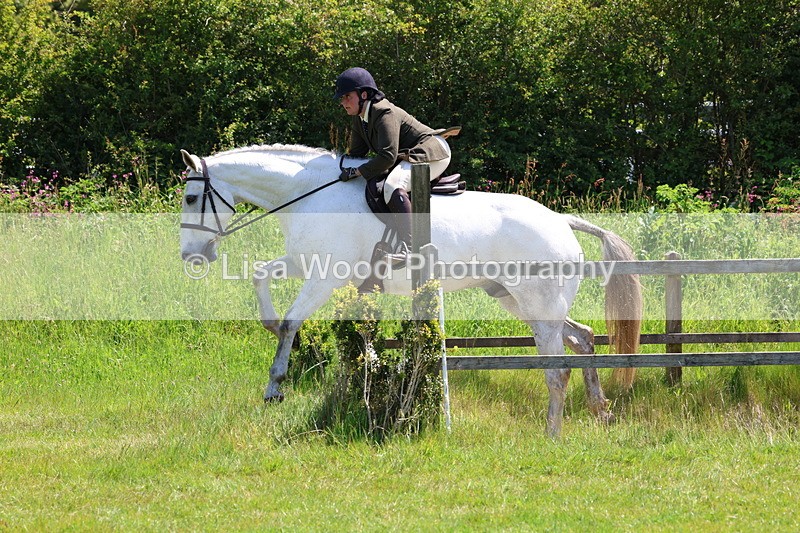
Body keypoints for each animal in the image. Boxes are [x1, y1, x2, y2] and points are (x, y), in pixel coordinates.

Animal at [179, 144, 642, 436]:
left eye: (189, 198)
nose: (191, 256)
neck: (306, 196)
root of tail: (562, 220)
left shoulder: (325, 276)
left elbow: (294, 320)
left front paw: (275, 386)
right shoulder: (305, 264)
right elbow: (261, 275)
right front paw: (271, 327)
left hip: (536, 300)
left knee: (557, 368)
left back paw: (552, 432)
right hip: (512, 297)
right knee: (582, 336)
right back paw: (600, 410)